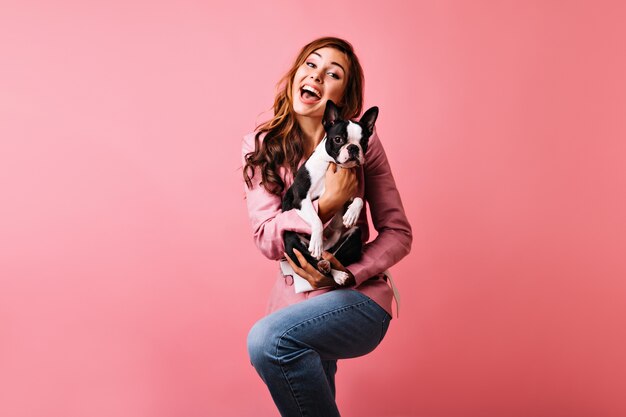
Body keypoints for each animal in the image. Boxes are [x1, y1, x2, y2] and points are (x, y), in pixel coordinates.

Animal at [282, 99, 378, 284]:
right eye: (338, 139)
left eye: (364, 142)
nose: (353, 148)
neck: (333, 164)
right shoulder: (301, 200)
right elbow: (317, 220)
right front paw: (316, 241)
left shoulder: (345, 196)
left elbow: (358, 200)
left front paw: (351, 214)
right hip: (291, 241)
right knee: (312, 259)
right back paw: (327, 265)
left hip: (354, 235)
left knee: (335, 257)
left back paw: (334, 269)